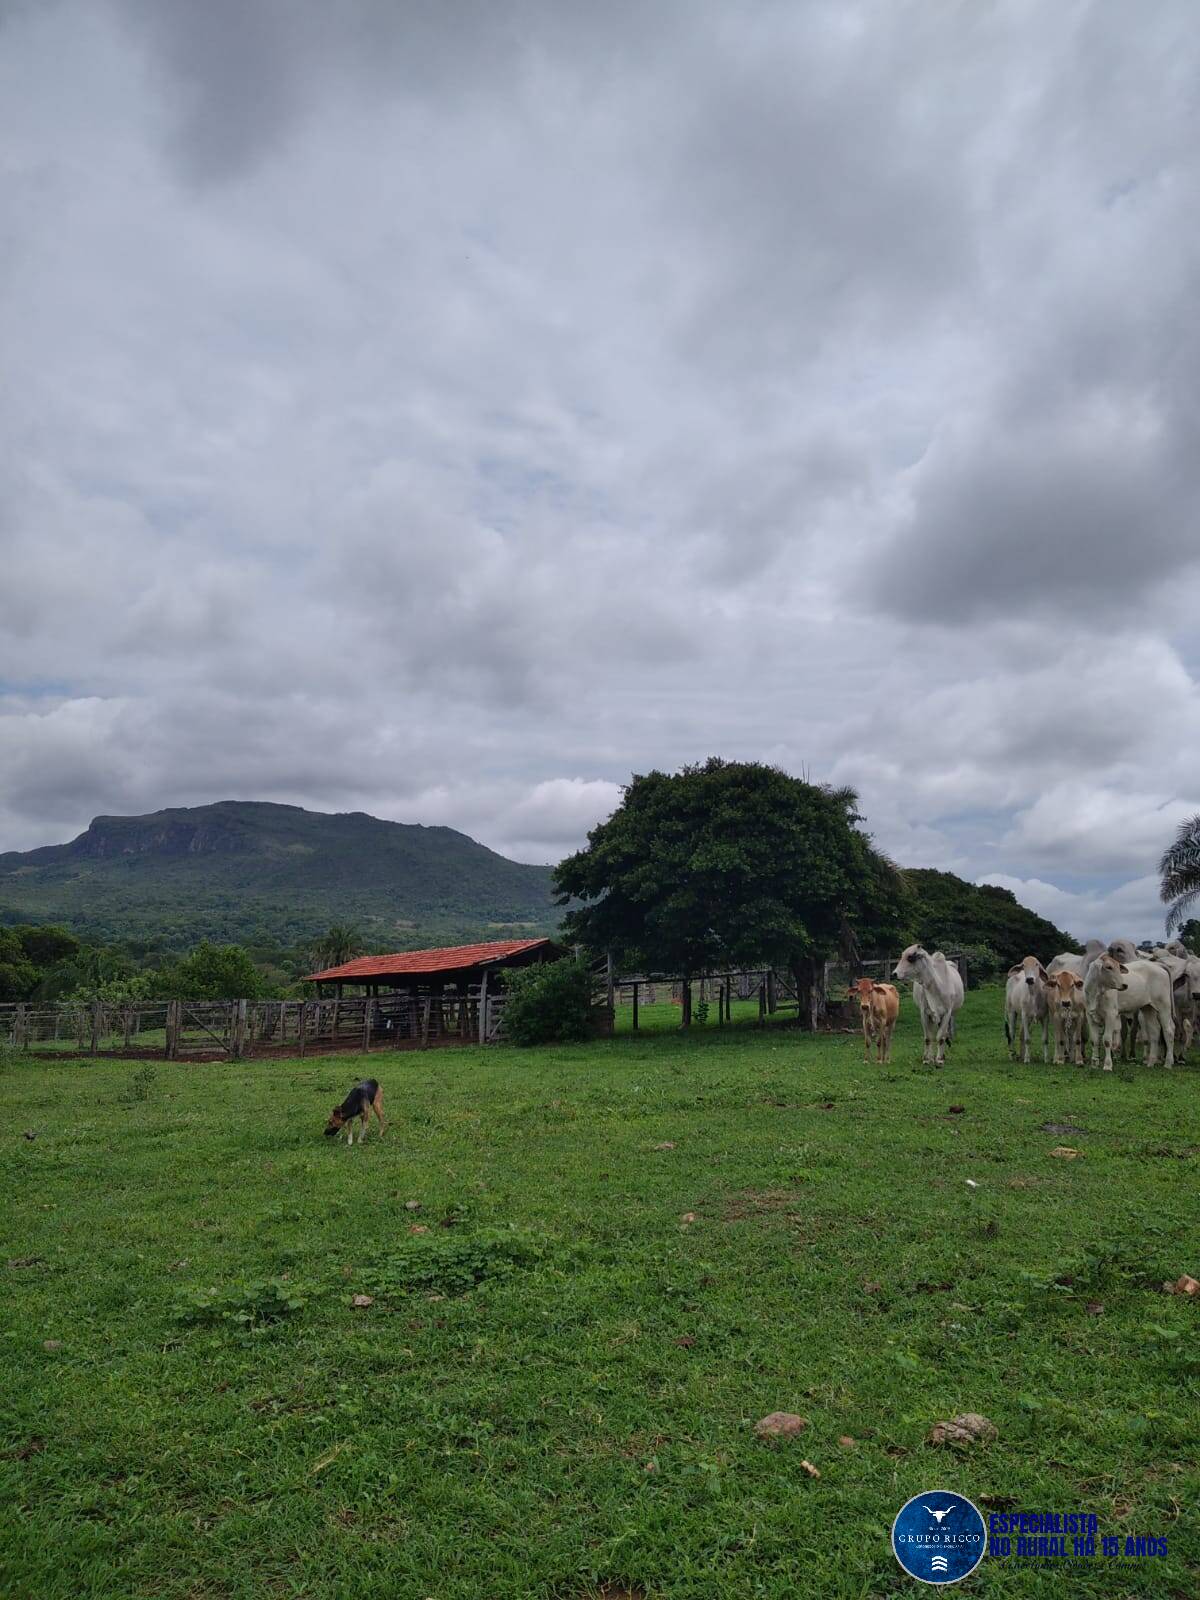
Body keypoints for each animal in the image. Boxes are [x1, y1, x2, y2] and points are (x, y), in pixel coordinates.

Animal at [896, 940, 966, 1068]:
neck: (935, 986)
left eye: (910, 957)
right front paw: (927, 1059)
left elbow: (940, 1037)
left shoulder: (947, 1013)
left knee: (944, 1034)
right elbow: (928, 1037)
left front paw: (939, 1059)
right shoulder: (924, 1013)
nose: (895, 973)